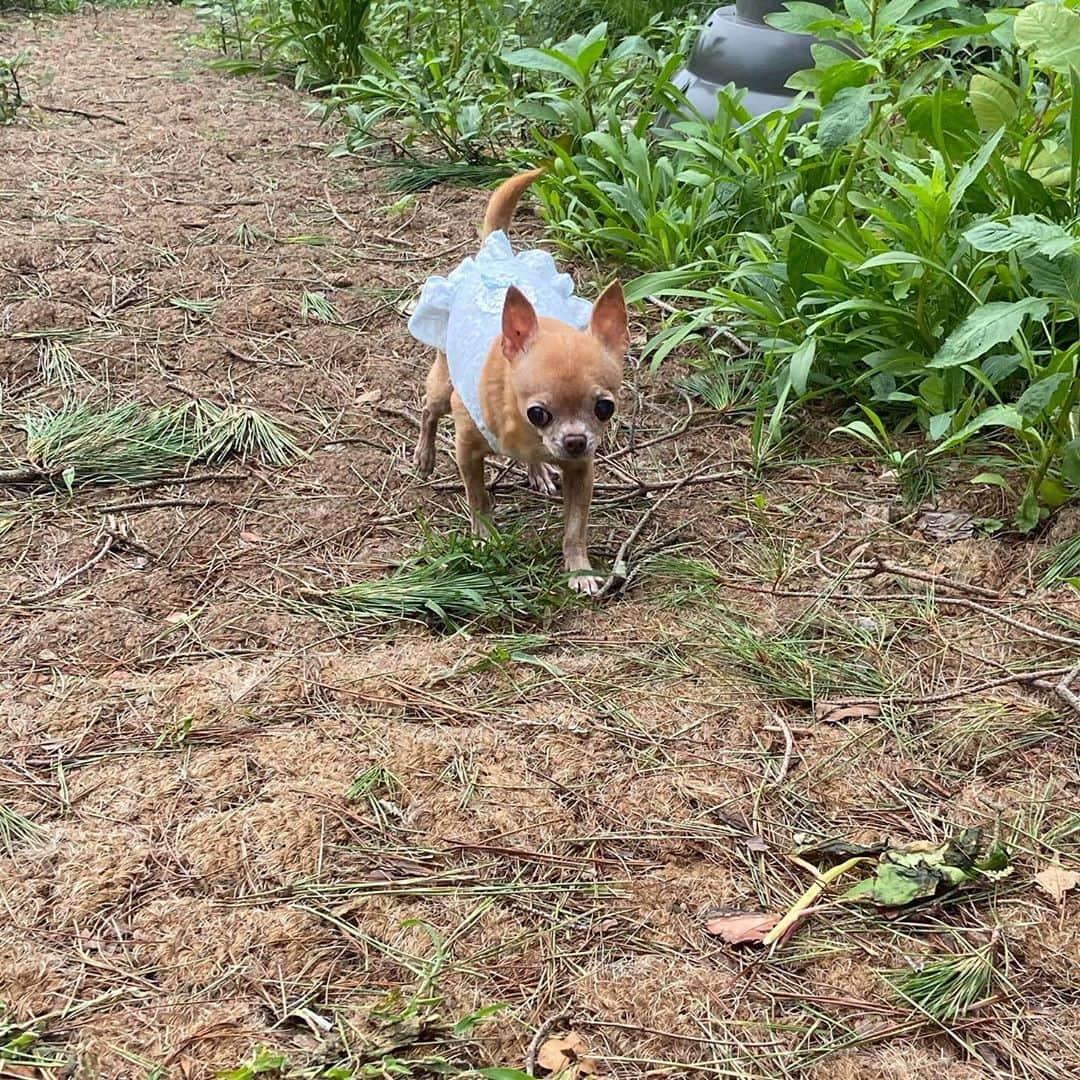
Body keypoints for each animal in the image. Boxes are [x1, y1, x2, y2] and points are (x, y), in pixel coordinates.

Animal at [412, 169, 630, 596]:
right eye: (538, 413)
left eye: (604, 408)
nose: (575, 441)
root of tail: (494, 255)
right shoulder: (468, 451)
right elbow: (477, 499)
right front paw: (483, 538)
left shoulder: (581, 471)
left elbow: (575, 528)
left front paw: (579, 570)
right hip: (443, 385)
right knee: (429, 411)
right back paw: (424, 455)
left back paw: (538, 471)